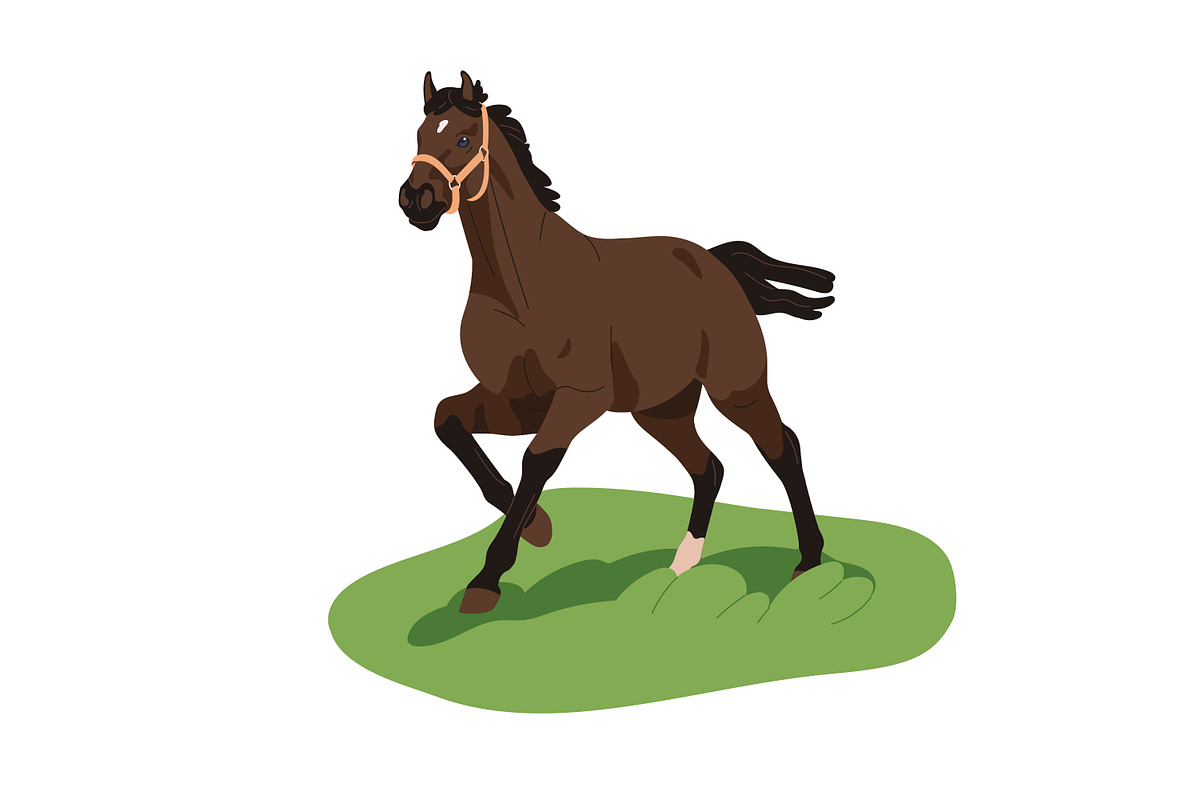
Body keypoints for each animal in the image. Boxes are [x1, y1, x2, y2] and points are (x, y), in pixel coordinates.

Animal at [399, 72, 836, 614]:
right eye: (419, 134)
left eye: (462, 139)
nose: (415, 199)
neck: (524, 283)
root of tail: (716, 263)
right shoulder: (516, 401)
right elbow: (447, 420)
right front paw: (539, 529)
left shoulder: (580, 397)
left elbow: (537, 461)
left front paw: (488, 579)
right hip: (661, 410)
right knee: (708, 467)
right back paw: (680, 567)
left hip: (737, 390)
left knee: (782, 448)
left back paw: (809, 562)